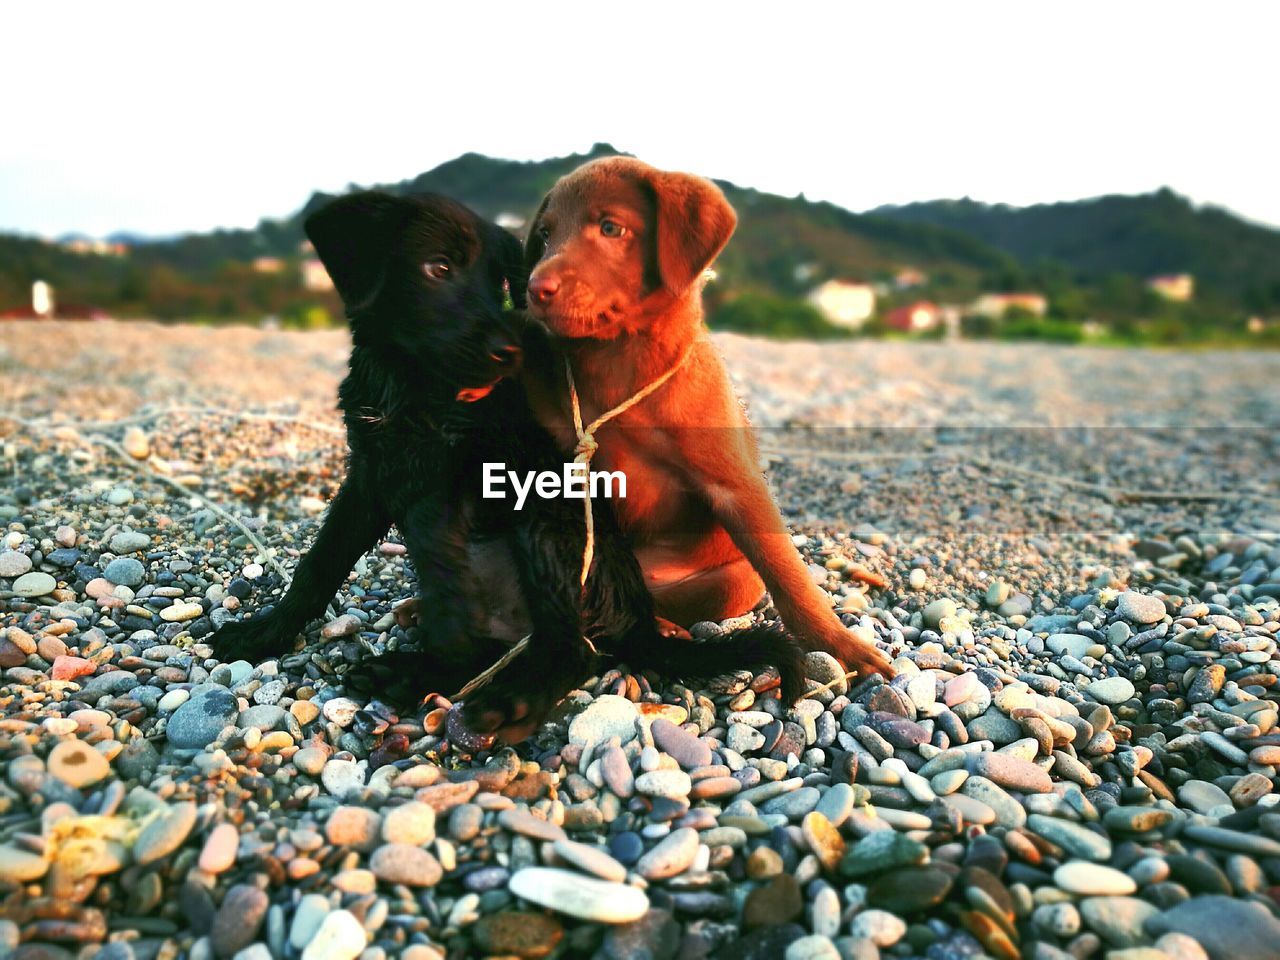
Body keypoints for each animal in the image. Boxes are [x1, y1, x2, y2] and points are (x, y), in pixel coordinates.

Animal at [519, 158, 890, 680]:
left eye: (611, 228)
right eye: (546, 235)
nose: (535, 288)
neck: (621, 360)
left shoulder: (735, 486)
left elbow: (789, 577)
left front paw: (839, 644)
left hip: (733, 582)